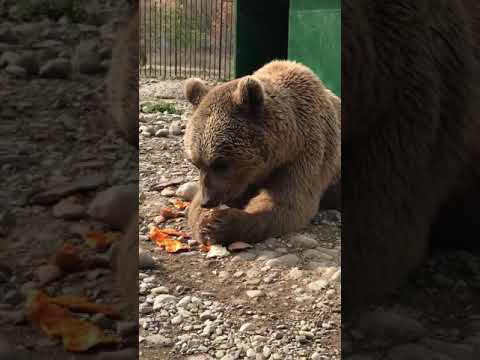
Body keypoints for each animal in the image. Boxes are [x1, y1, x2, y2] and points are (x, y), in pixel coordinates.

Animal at [183, 61, 342, 248]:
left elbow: (288, 202)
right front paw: (205, 221)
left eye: (221, 164)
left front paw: (219, 224)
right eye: (196, 163)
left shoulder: (305, 154)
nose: (207, 201)